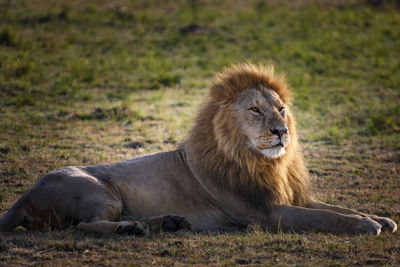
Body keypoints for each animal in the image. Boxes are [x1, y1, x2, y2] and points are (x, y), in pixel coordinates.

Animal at [0, 62, 396, 234]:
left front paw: (381, 218)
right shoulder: (265, 213)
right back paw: (134, 229)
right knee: (83, 227)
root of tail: (23, 197)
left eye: (281, 109)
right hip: (101, 192)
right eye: (255, 110)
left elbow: (335, 207)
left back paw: (169, 222)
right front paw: (366, 225)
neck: (264, 162)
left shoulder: (292, 196)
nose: (282, 131)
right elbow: (324, 217)